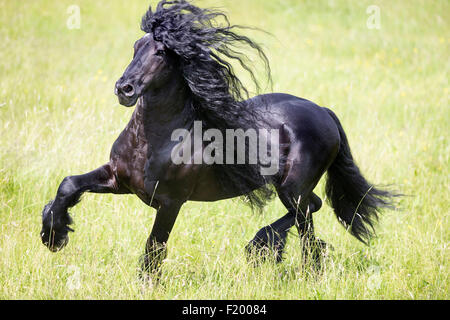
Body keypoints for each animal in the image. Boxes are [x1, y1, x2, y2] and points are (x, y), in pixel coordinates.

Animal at [40, 0, 396, 276]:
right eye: (135, 47)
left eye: (161, 52)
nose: (123, 89)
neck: (154, 143)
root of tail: (323, 111)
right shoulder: (119, 180)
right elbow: (69, 184)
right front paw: (52, 235)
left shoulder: (170, 202)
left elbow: (154, 247)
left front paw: (145, 285)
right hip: (292, 190)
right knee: (312, 208)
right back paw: (260, 245)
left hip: (292, 188)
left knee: (308, 226)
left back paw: (293, 264)